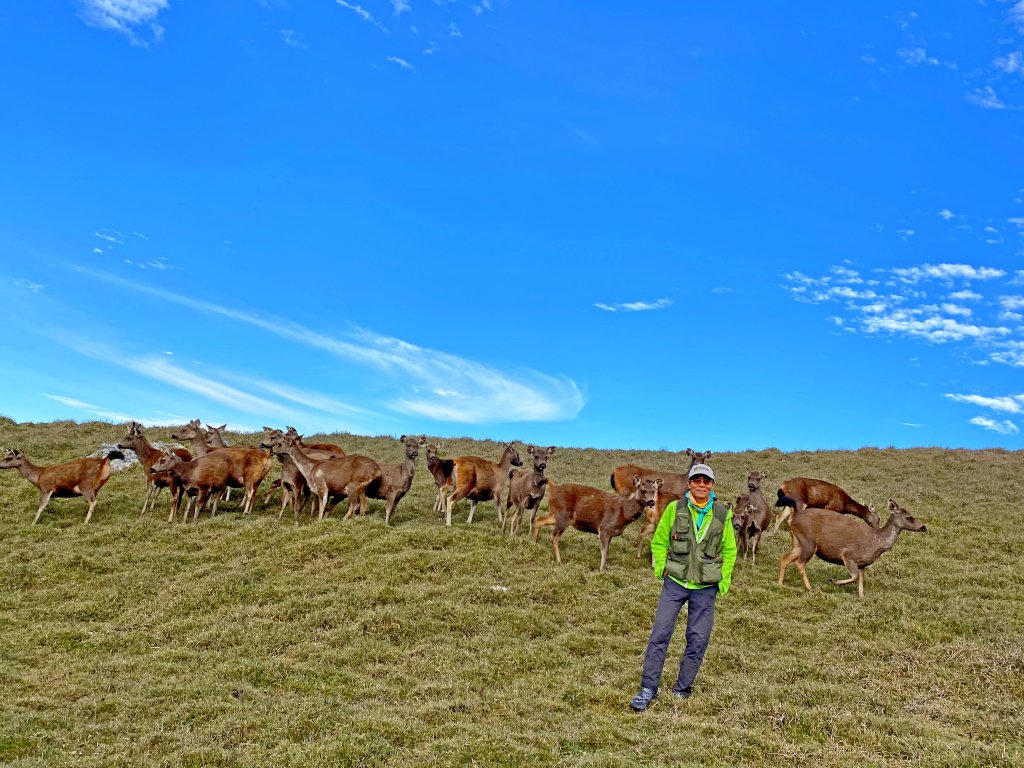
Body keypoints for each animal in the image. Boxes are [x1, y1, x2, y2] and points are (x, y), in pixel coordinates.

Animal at [528, 479, 663, 573]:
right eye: (643, 490)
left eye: (654, 491)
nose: (652, 502)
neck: (624, 513)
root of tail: (552, 487)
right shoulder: (604, 528)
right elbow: (604, 550)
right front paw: (601, 570)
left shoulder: (611, 533)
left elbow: (607, 550)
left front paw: (605, 567)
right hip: (563, 516)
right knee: (554, 536)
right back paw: (559, 560)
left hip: (555, 514)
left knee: (539, 519)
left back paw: (534, 543)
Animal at [774, 499, 929, 602]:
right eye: (909, 517)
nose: (924, 527)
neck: (876, 542)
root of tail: (793, 518)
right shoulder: (849, 555)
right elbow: (854, 578)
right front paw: (833, 581)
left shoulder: (862, 564)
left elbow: (861, 581)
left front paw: (862, 597)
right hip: (809, 543)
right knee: (799, 563)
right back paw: (809, 588)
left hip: (798, 543)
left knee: (784, 558)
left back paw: (781, 583)